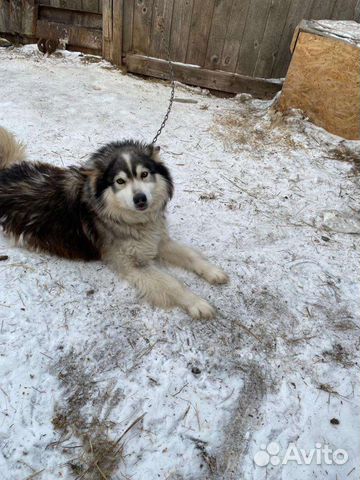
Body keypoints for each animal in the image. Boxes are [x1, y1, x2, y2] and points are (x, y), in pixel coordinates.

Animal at [0, 127, 229, 318]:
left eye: (144, 174)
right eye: (120, 181)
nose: (140, 199)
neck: (127, 219)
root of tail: (6, 174)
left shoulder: (157, 240)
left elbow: (191, 256)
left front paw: (212, 272)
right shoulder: (133, 265)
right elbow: (172, 284)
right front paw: (197, 303)